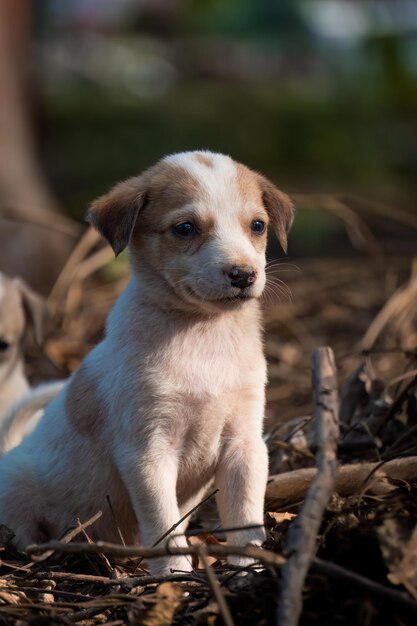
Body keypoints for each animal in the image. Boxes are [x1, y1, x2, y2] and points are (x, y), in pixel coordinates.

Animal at [0, 150, 292, 572]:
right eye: (185, 228)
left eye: (257, 225)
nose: (243, 275)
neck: (203, 335)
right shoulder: (149, 453)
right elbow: (164, 522)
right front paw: (174, 574)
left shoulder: (245, 446)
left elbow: (246, 517)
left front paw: (249, 566)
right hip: (18, 493)